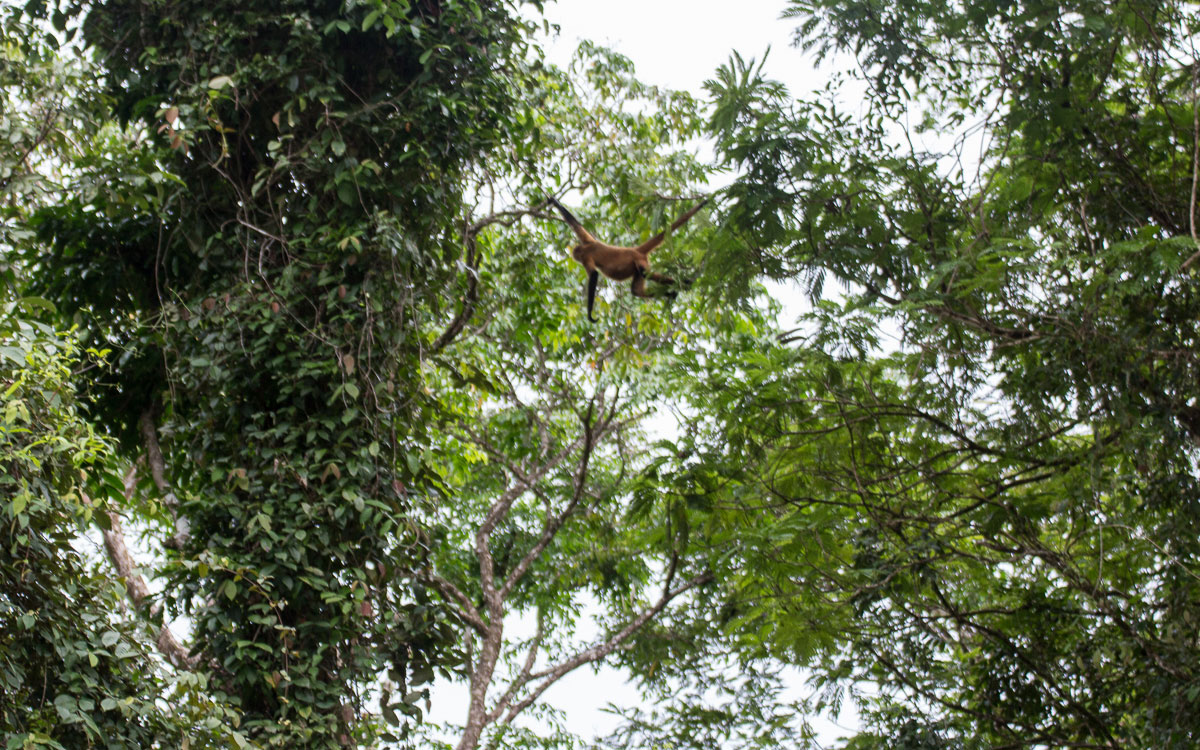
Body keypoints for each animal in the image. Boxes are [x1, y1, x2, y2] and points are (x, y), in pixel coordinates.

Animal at [548, 195, 708, 322]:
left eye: (577, 257)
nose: (574, 256)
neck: (585, 248)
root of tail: (635, 250)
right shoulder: (588, 241)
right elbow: (576, 224)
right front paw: (554, 202)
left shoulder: (586, 255)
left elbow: (594, 274)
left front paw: (590, 315)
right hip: (637, 267)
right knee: (636, 290)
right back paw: (671, 293)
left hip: (641, 262)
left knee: (645, 274)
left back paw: (683, 284)